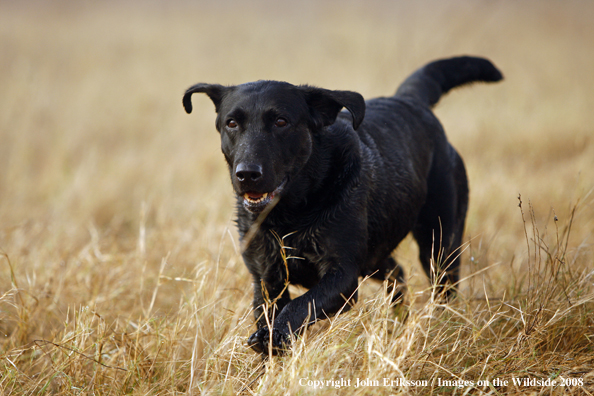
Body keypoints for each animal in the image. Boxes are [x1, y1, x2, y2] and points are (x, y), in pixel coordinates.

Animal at [180, 55, 500, 352]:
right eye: (232, 123)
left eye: (281, 122)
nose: (247, 174)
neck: (290, 216)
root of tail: (410, 100)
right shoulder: (266, 280)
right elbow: (274, 312)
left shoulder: (342, 277)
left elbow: (298, 307)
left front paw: (275, 335)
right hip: (375, 255)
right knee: (397, 273)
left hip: (439, 245)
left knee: (442, 287)